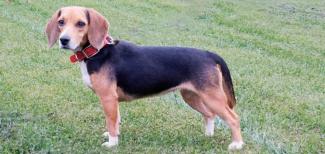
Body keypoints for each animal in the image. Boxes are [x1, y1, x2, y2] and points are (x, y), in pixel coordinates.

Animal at [45, 6, 243, 150]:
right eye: (61, 22)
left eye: (81, 23)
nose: (64, 40)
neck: (97, 51)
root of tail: (209, 54)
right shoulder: (114, 101)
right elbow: (115, 120)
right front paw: (114, 135)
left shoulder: (108, 98)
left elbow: (111, 121)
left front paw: (112, 143)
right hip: (192, 96)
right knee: (210, 114)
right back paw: (208, 135)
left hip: (212, 97)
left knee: (233, 118)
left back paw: (237, 144)